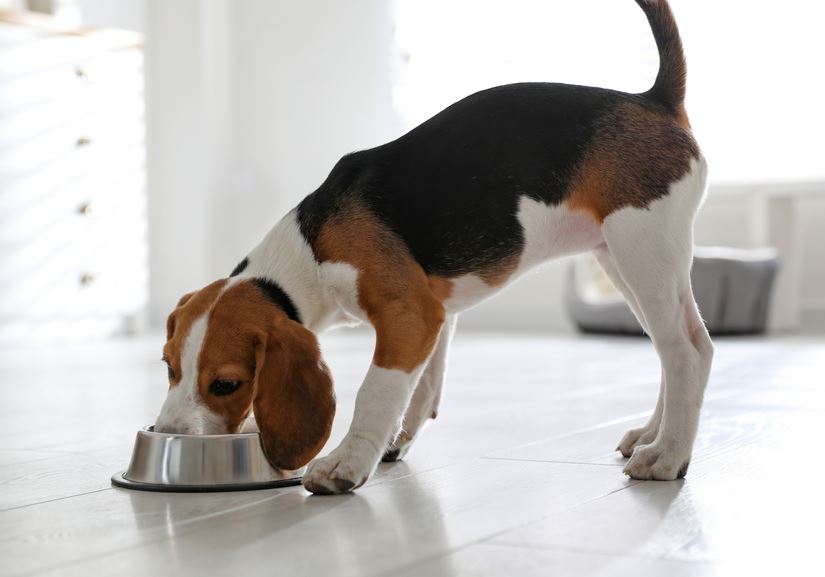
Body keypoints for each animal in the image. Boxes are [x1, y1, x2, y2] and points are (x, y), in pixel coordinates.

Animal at [158, 1, 712, 496]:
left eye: (226, 384)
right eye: (168, 366)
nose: (168, 436)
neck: (308, 250)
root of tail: (653, 99)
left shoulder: (409, 314)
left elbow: (375, 391)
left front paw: (345, 463)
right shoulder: (435, 313)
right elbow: (422, 388)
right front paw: (394, 441)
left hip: (642, 249)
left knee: (686, 353)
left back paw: (667, 456)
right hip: (623, 260)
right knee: (680, 348)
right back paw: (652, 435)